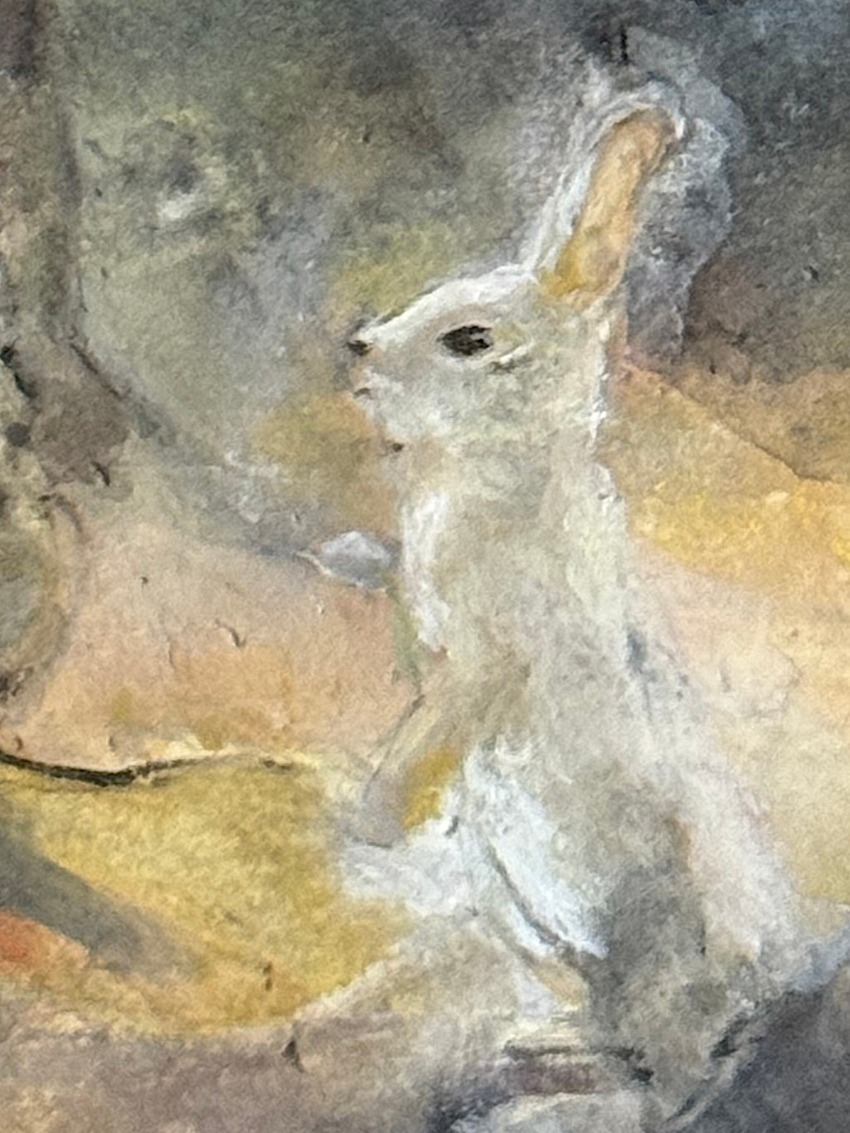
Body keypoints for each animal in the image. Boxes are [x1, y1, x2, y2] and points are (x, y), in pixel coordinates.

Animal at [340, 78, 850, 1130]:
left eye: (469, 339)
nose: (355, 349)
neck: (504, 468)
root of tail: (766, 988)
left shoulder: (487, 655)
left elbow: (440, 718)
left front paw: (372, 818)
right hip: (531, 915)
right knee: (625, 1035)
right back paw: (543, 1045)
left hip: (655, 942)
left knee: (683, 1077)